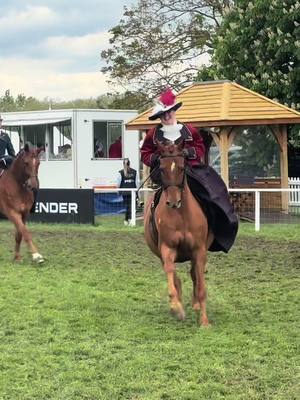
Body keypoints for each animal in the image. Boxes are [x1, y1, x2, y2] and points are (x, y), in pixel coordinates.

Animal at [145, 142, 213, 326]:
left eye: (182, 167)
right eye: (161, 168)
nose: (174, 202)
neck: (181, 215)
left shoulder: (199, 250)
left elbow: (201, 284)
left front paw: (204, 321)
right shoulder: (167, 248)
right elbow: (171, 275)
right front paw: (176, 308)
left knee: (195, 275)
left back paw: (195, 305)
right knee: (176, 277)